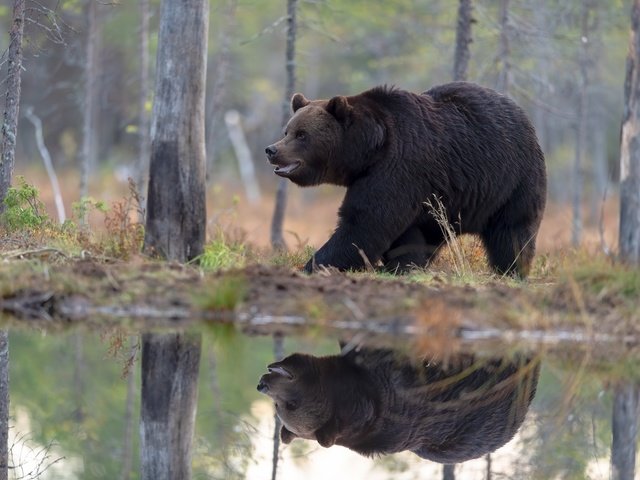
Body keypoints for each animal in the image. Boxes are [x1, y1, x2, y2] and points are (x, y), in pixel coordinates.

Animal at [264, 83, 544, 278]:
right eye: (287, 130)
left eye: (302, 134)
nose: (271, 149)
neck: (368, 151)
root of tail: (524, 116)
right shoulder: (407, 186)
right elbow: (403, 233)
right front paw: (400, 265)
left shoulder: (398, 167)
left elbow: (365, 222)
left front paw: (314, 264)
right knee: (433, 233)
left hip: (513, 180)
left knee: (512, 230)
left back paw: (512, 270)